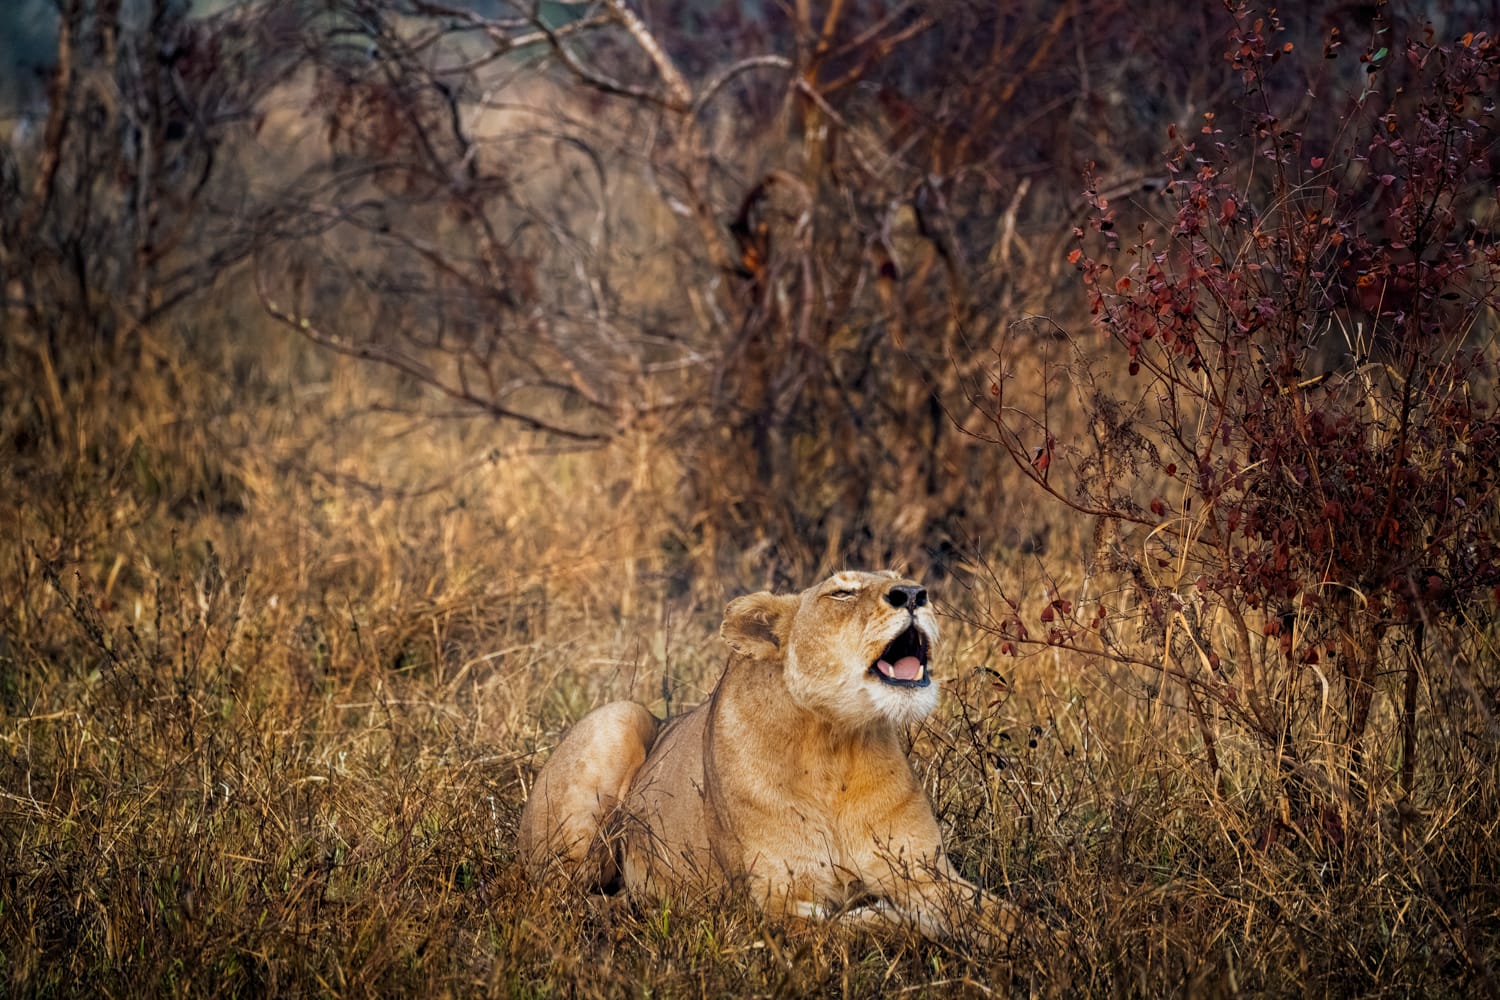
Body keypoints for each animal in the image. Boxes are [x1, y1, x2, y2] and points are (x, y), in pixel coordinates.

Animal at [517, 570, 1021, 944]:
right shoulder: (772, 900)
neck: (834, 748)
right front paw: (894, 918)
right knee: (558, 898)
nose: (915, 594)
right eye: (842, 592)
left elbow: (1006, 916)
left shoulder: (925, 872)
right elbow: (861, 930)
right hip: (619, 718)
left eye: (905, 580)